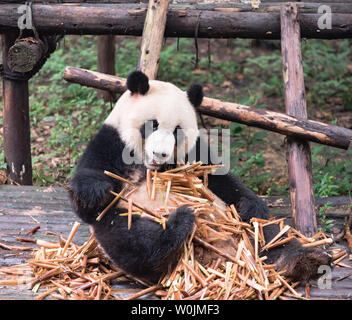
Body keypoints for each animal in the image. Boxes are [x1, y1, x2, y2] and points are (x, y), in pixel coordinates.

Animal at [68, 71, 330, 284]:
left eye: (177, 130)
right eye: (152, 124)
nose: (160, 154)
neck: (149, 167)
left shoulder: (195, 154)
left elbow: (222, 181)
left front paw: (249, 203)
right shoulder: (112, 142)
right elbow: (90, 189)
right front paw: (94, 192)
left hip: (249, 233)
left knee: (267, 233)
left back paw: (302, 260)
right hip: (126, 221)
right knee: (133, 238)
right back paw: (179, 223)